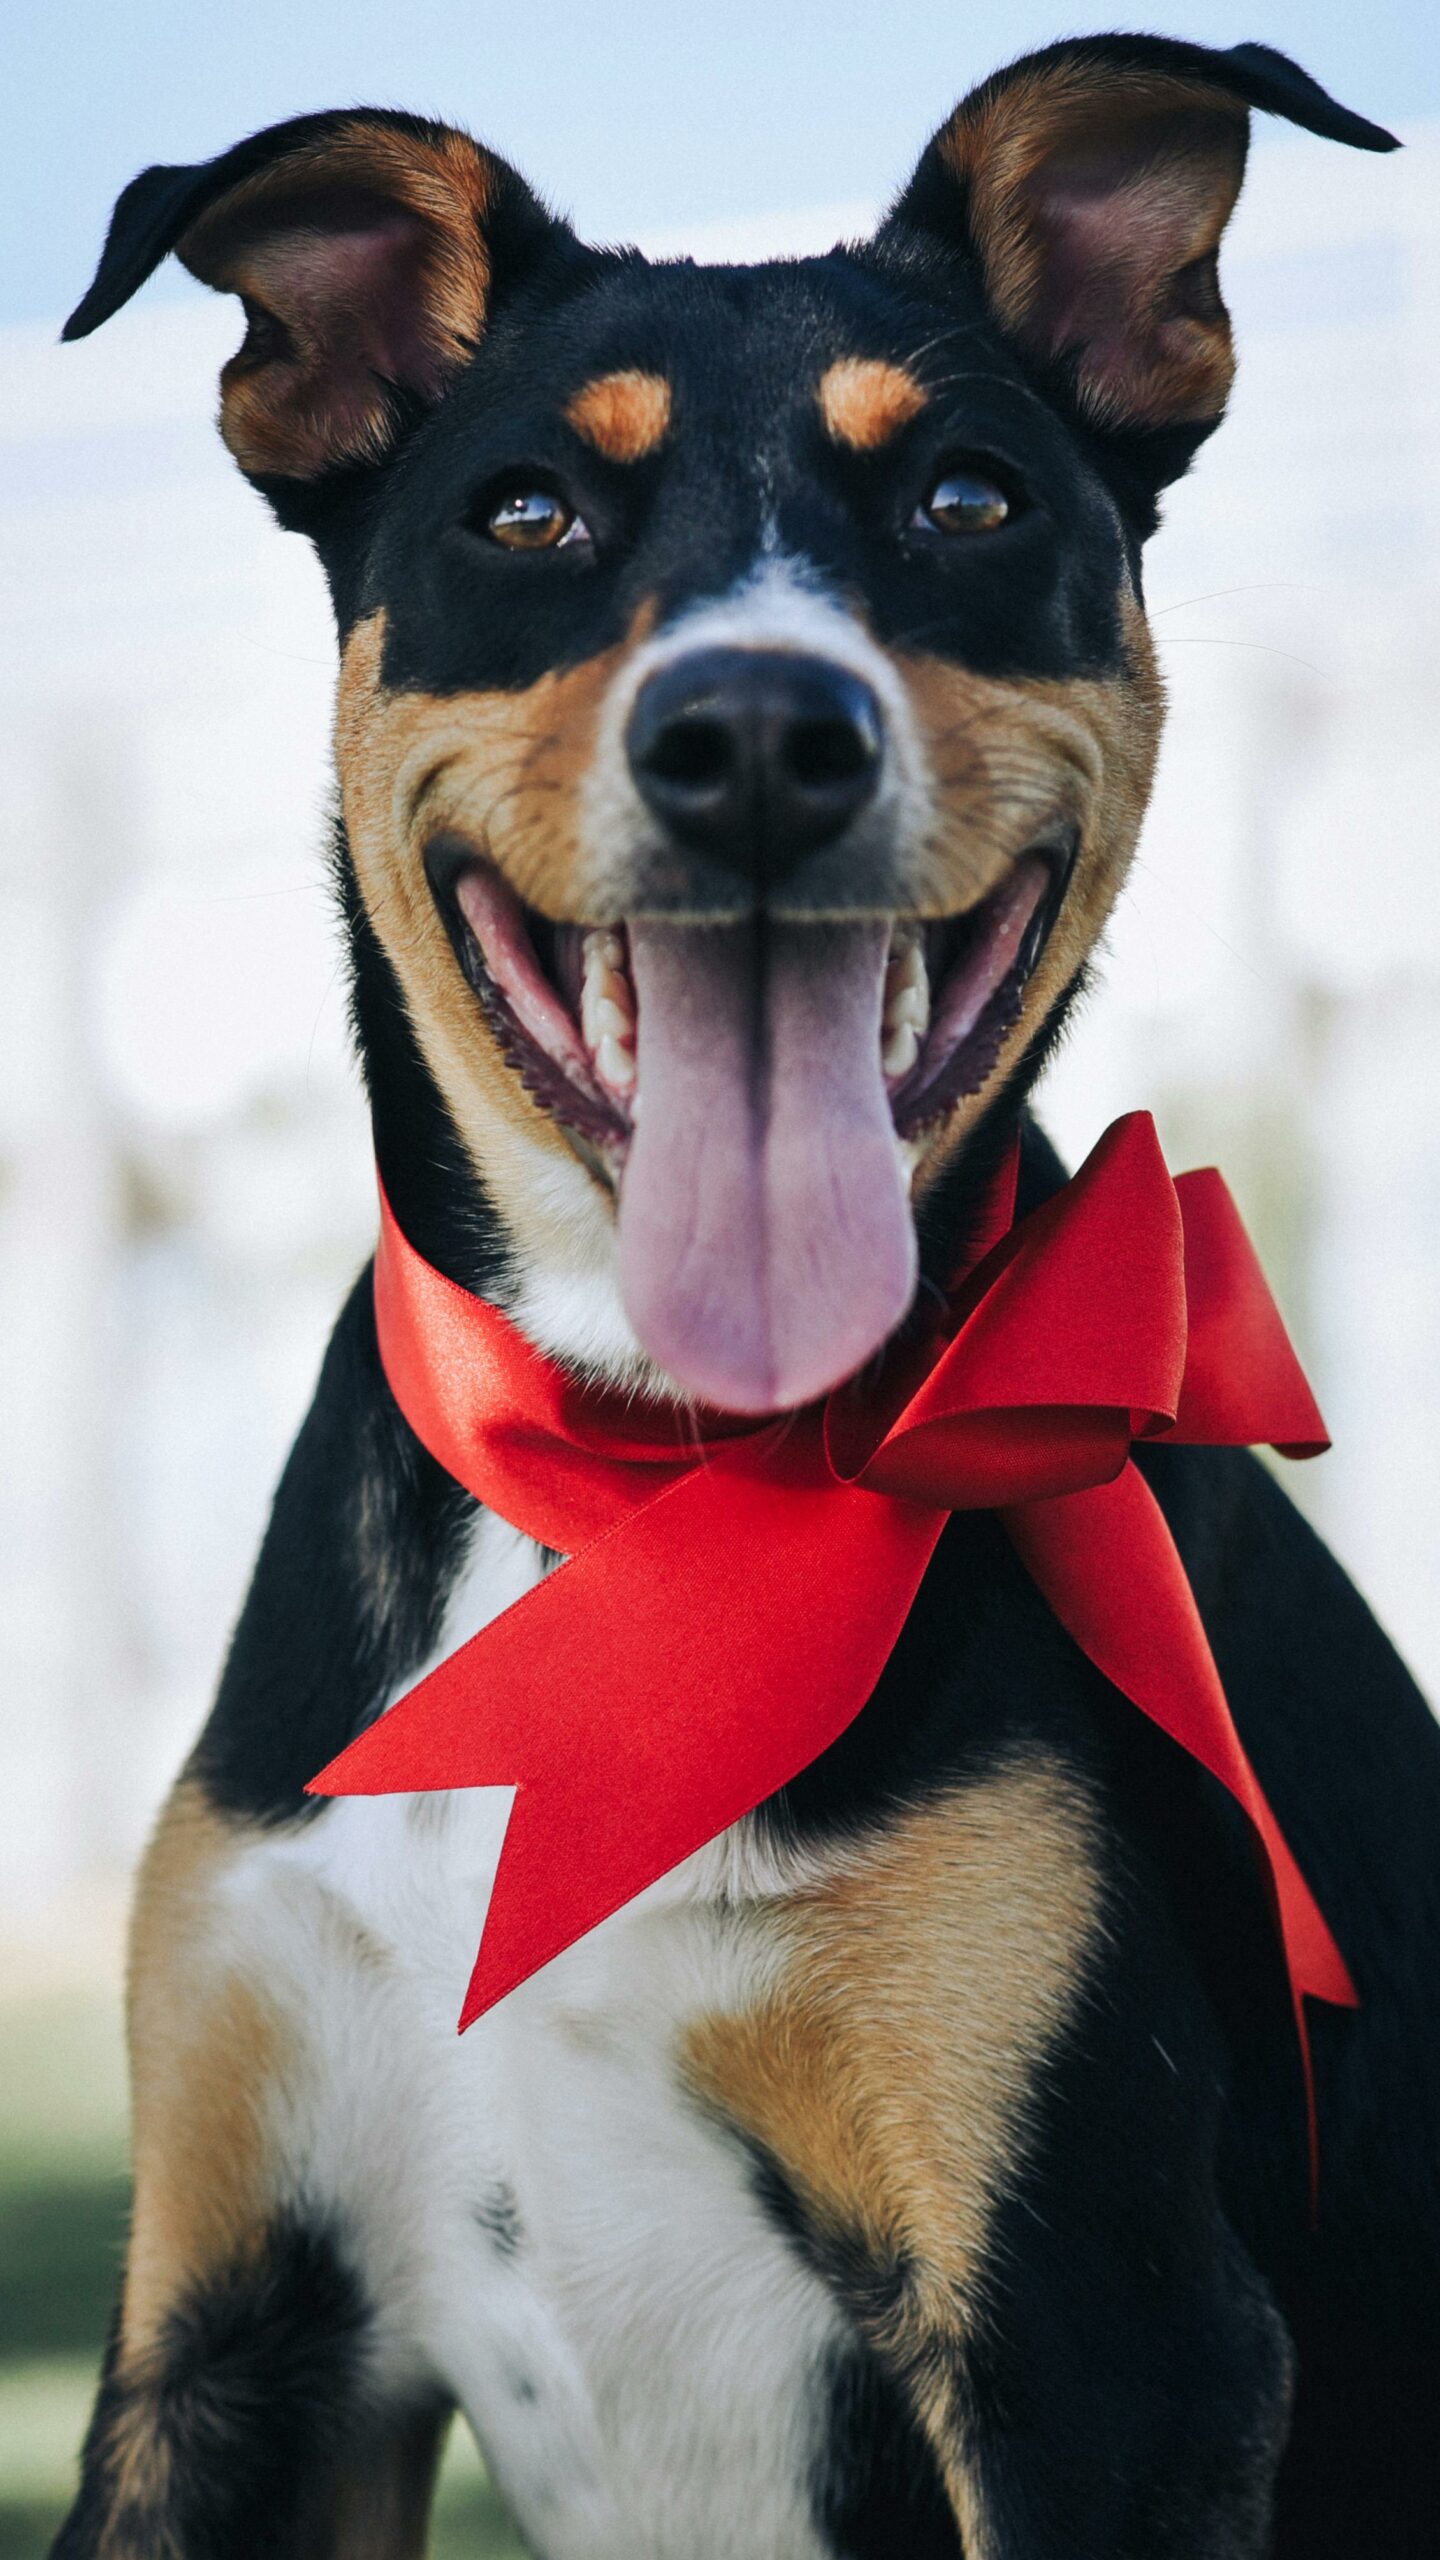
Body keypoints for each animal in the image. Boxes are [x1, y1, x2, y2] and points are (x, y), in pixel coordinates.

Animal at [50, 24, 1424, 2560]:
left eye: (970, 496)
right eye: (523, 518)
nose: (762, 734)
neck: (639, 1477)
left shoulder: (1104, 2337)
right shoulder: (221, 2329)